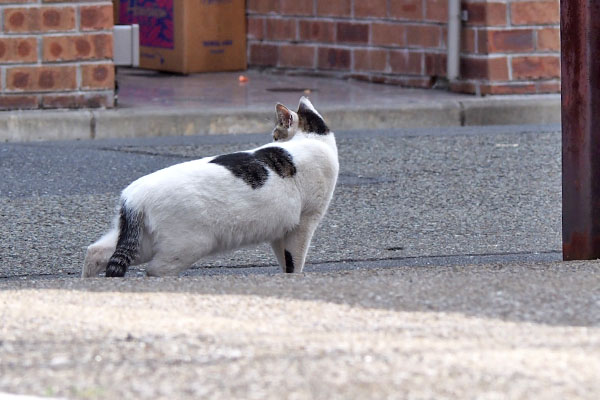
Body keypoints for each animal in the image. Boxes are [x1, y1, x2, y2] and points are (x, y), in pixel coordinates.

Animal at [82, 97, 340, 278]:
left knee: (96, 252)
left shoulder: (281, 230)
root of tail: (134, 196)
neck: (314, 140)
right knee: (155, 270)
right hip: (189, 244)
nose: (274, 139)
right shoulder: (304, 223)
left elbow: (285, 262)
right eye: (275, 136)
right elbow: (294, 262)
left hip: (140, 242)